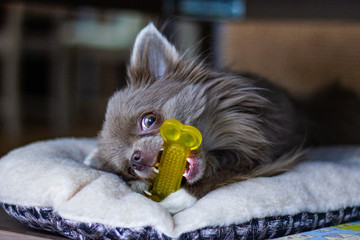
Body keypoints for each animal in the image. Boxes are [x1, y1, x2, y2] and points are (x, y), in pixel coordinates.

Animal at [95, 23, 360, 213]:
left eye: (148, 120)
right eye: (129, 168)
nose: (137, 158)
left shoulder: (266, 155)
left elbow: (225, 172)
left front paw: (179, 198)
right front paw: (141, 185)